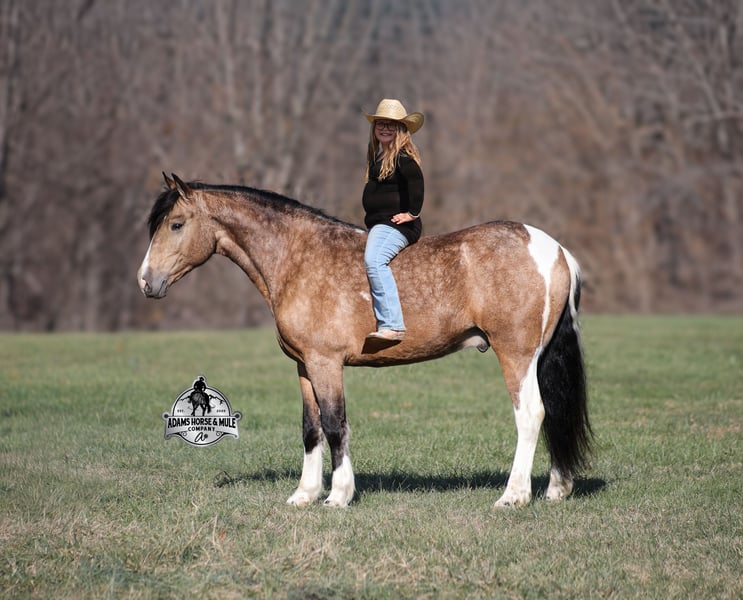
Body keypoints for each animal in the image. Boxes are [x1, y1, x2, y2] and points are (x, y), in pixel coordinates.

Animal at [138, 173, 592, 509]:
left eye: (176, 224)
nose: (146, 281)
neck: (300, 257)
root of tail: (554, 250)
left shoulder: (326, 363)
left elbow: (335, 425)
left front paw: (338, 495)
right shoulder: (304, 366)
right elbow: (311, 429)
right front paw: (304, 495)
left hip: (515, 354)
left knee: (531, 414)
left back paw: (513, 496)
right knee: (553, 411)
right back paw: (556, 488)